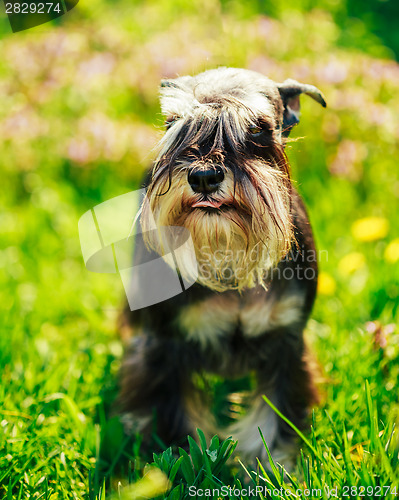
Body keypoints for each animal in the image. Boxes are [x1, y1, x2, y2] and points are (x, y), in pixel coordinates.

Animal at [119, 66, 324, 464]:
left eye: (258, 127)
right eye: (172, 123)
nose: (203, 177)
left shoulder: (287, 342)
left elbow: (276, 419)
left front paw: (273, 467)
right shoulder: (167, 344)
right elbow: (176, 417)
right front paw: (186, 462)